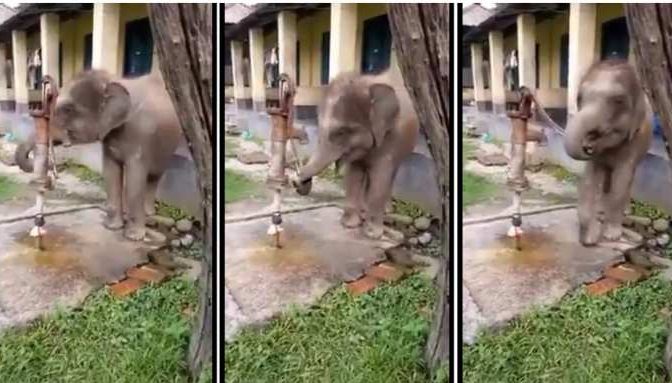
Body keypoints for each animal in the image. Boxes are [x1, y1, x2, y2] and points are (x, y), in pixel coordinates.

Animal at [51, 70, 181, 242]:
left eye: (68, 109)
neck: (111, 80)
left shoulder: (141, 135)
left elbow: (134, 178)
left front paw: (133, 237)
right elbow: (111, 172)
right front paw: (111, 227)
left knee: (155, 176)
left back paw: (148, 215)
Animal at [560, 60, 652, 246]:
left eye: (618, 100)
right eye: (579, 98)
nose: (588, 146)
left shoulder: (633, 141)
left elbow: (622, 179)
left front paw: (611, 236)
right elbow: (590, 177)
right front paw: (591, 235)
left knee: (627, 179)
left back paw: (623, 212)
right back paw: (602, 212)